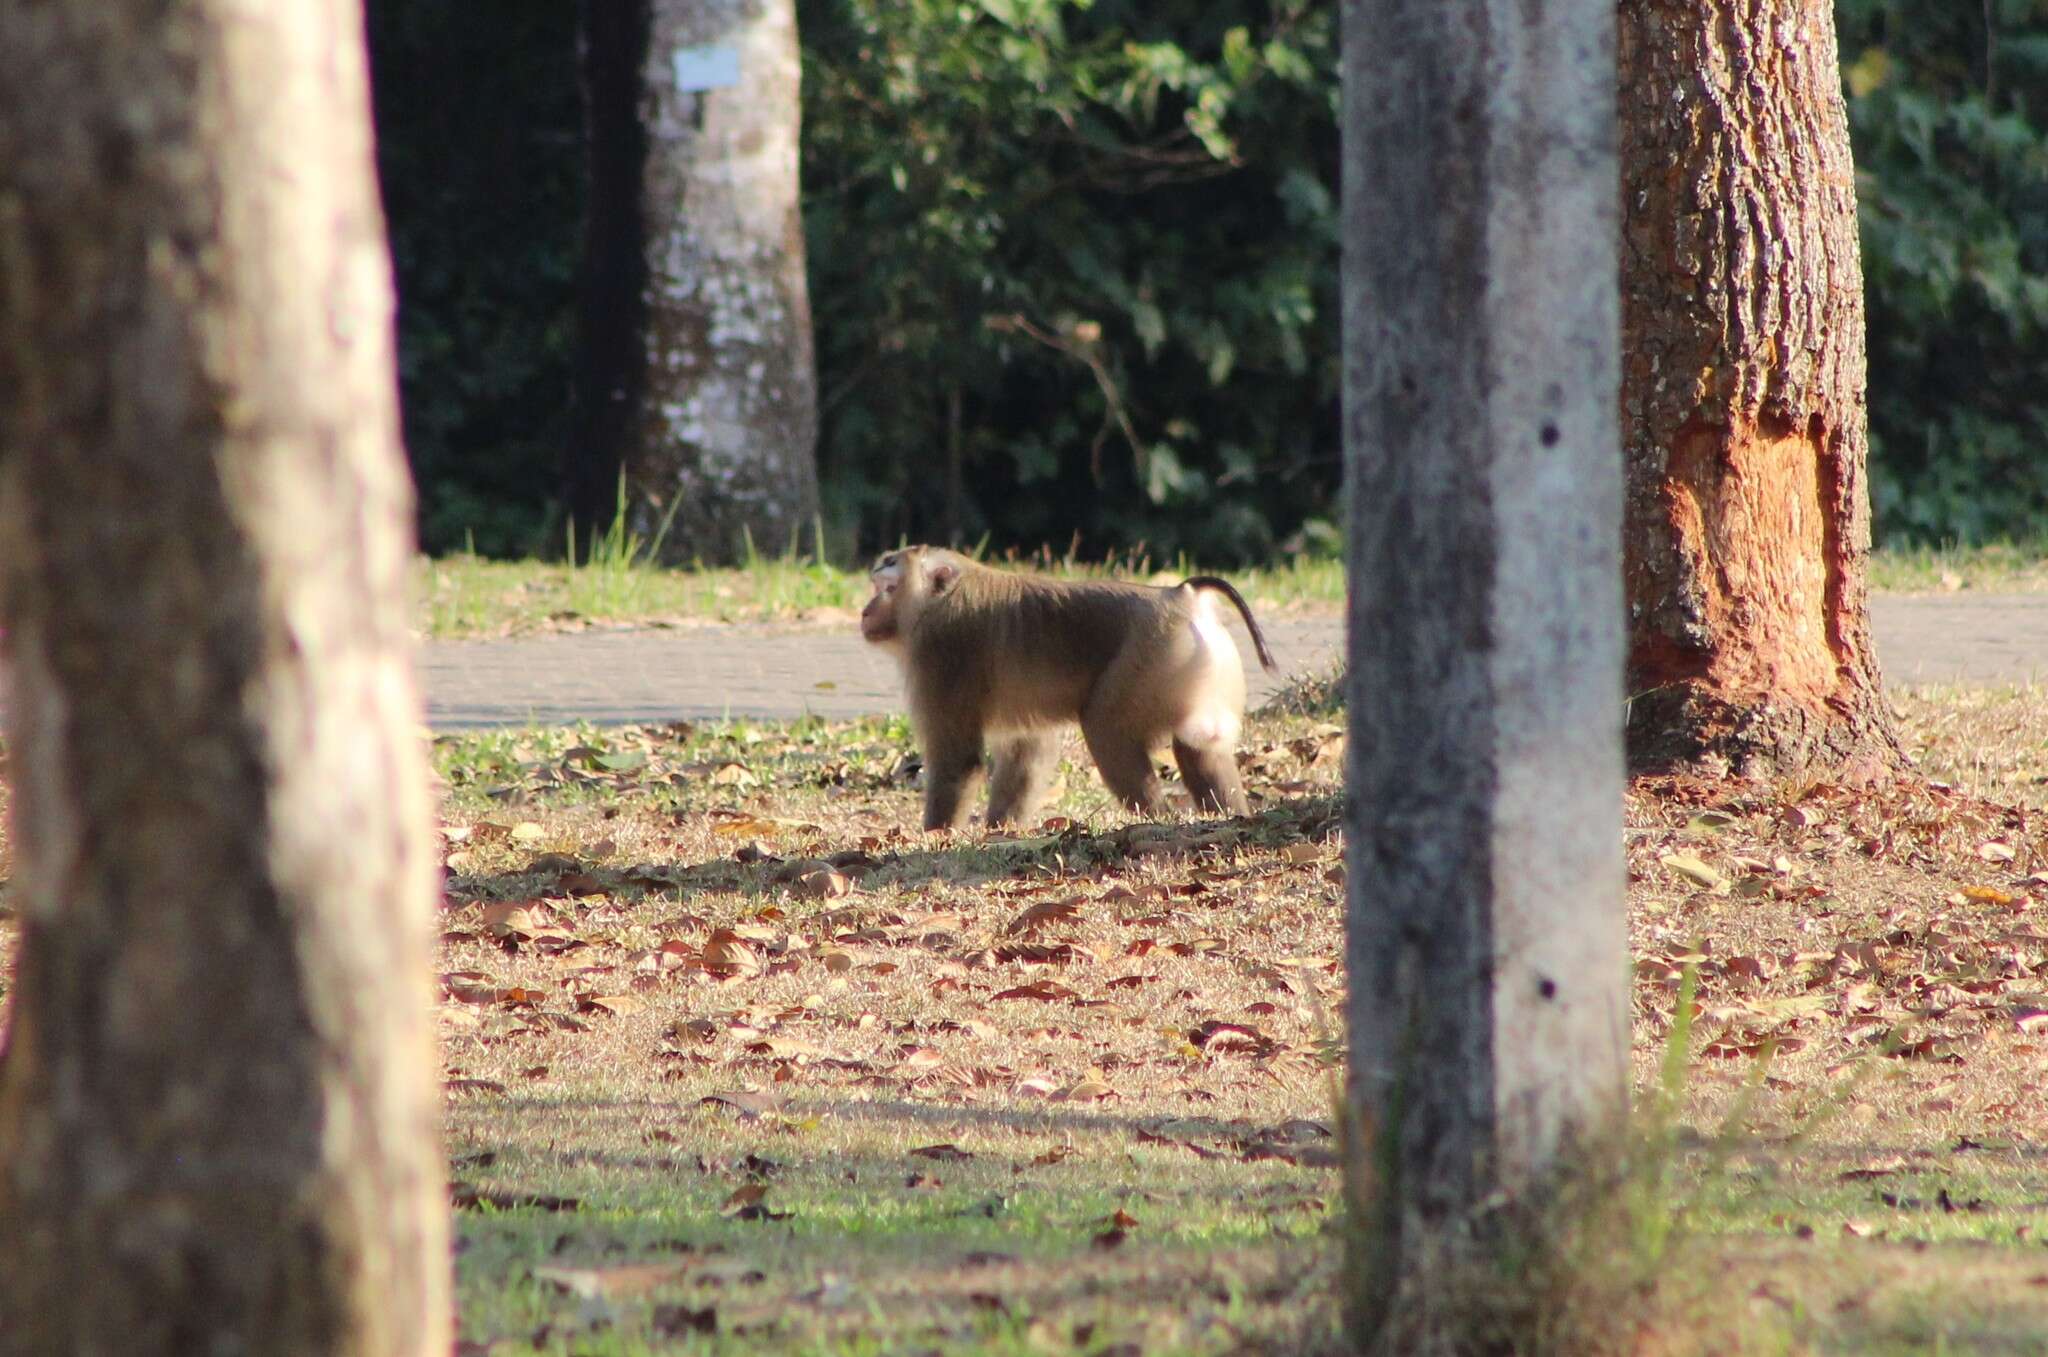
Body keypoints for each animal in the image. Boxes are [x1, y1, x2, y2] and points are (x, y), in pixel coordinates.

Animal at [864, 548, 1277, 835]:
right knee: (1201, 746)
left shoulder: (942, 655)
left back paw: (1159, 820)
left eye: (889, 577)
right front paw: (1000, 830)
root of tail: (1179, 595)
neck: (942, 598)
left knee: (1105, 728)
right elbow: (1028, 750)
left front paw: (936, 835)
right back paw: (1229, 816)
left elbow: (958, 761)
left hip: (1151, 660)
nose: (865, 612)